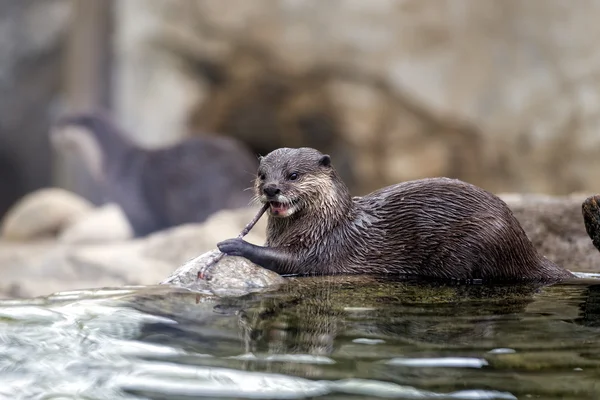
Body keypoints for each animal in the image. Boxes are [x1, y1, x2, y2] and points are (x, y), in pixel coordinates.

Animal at [217, 146, 576, 282]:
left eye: (293, 175)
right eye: (262, 174)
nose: (271, 189)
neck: (328, 223)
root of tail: (525, 246)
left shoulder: (322, 247)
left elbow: (288, 261)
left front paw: (232, 244)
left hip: (479, 239)